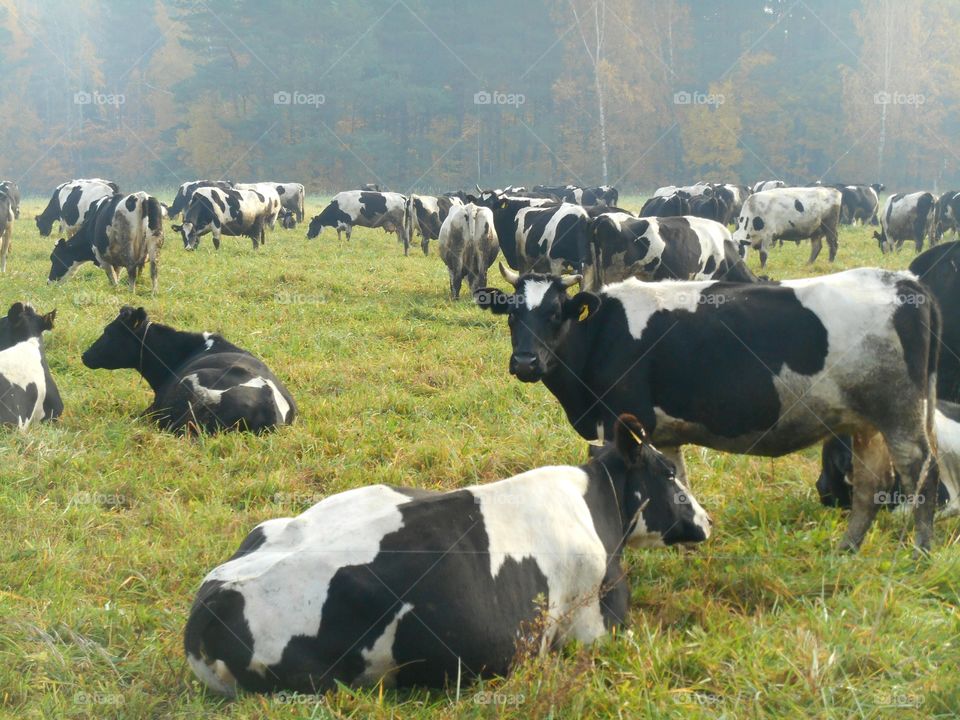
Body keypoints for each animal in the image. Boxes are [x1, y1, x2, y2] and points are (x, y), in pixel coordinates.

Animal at [476, 267, 942, 553]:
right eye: (512, 314)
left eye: (555, 313)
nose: (525, 363)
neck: (601, 334)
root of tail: (905, 281)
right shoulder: (663, 434)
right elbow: (678, 481)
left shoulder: (617, 421)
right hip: (866, 423)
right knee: (870, 486)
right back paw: (847, 549)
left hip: (901, 415)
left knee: (922, 473)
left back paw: (920, 549)